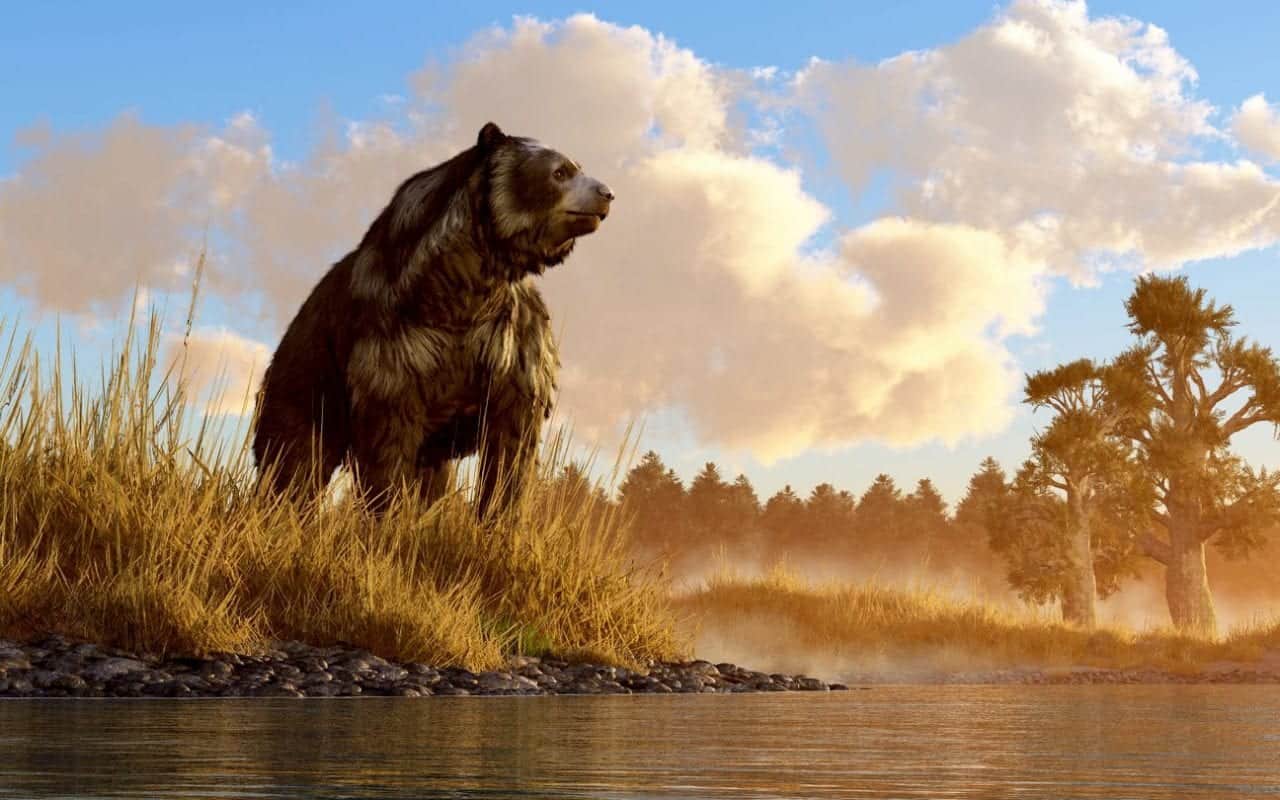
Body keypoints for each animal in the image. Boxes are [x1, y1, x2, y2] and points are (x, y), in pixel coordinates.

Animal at [252, 121, 614, 518]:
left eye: (578, 165)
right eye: (560, 172)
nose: (607, 193)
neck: (461, 289)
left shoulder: (513, 344)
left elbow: (512, 445)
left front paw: (498, 518)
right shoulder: (396, 345)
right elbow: (388, 441)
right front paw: (386, 514)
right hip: (308, 373)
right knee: (293, 454)